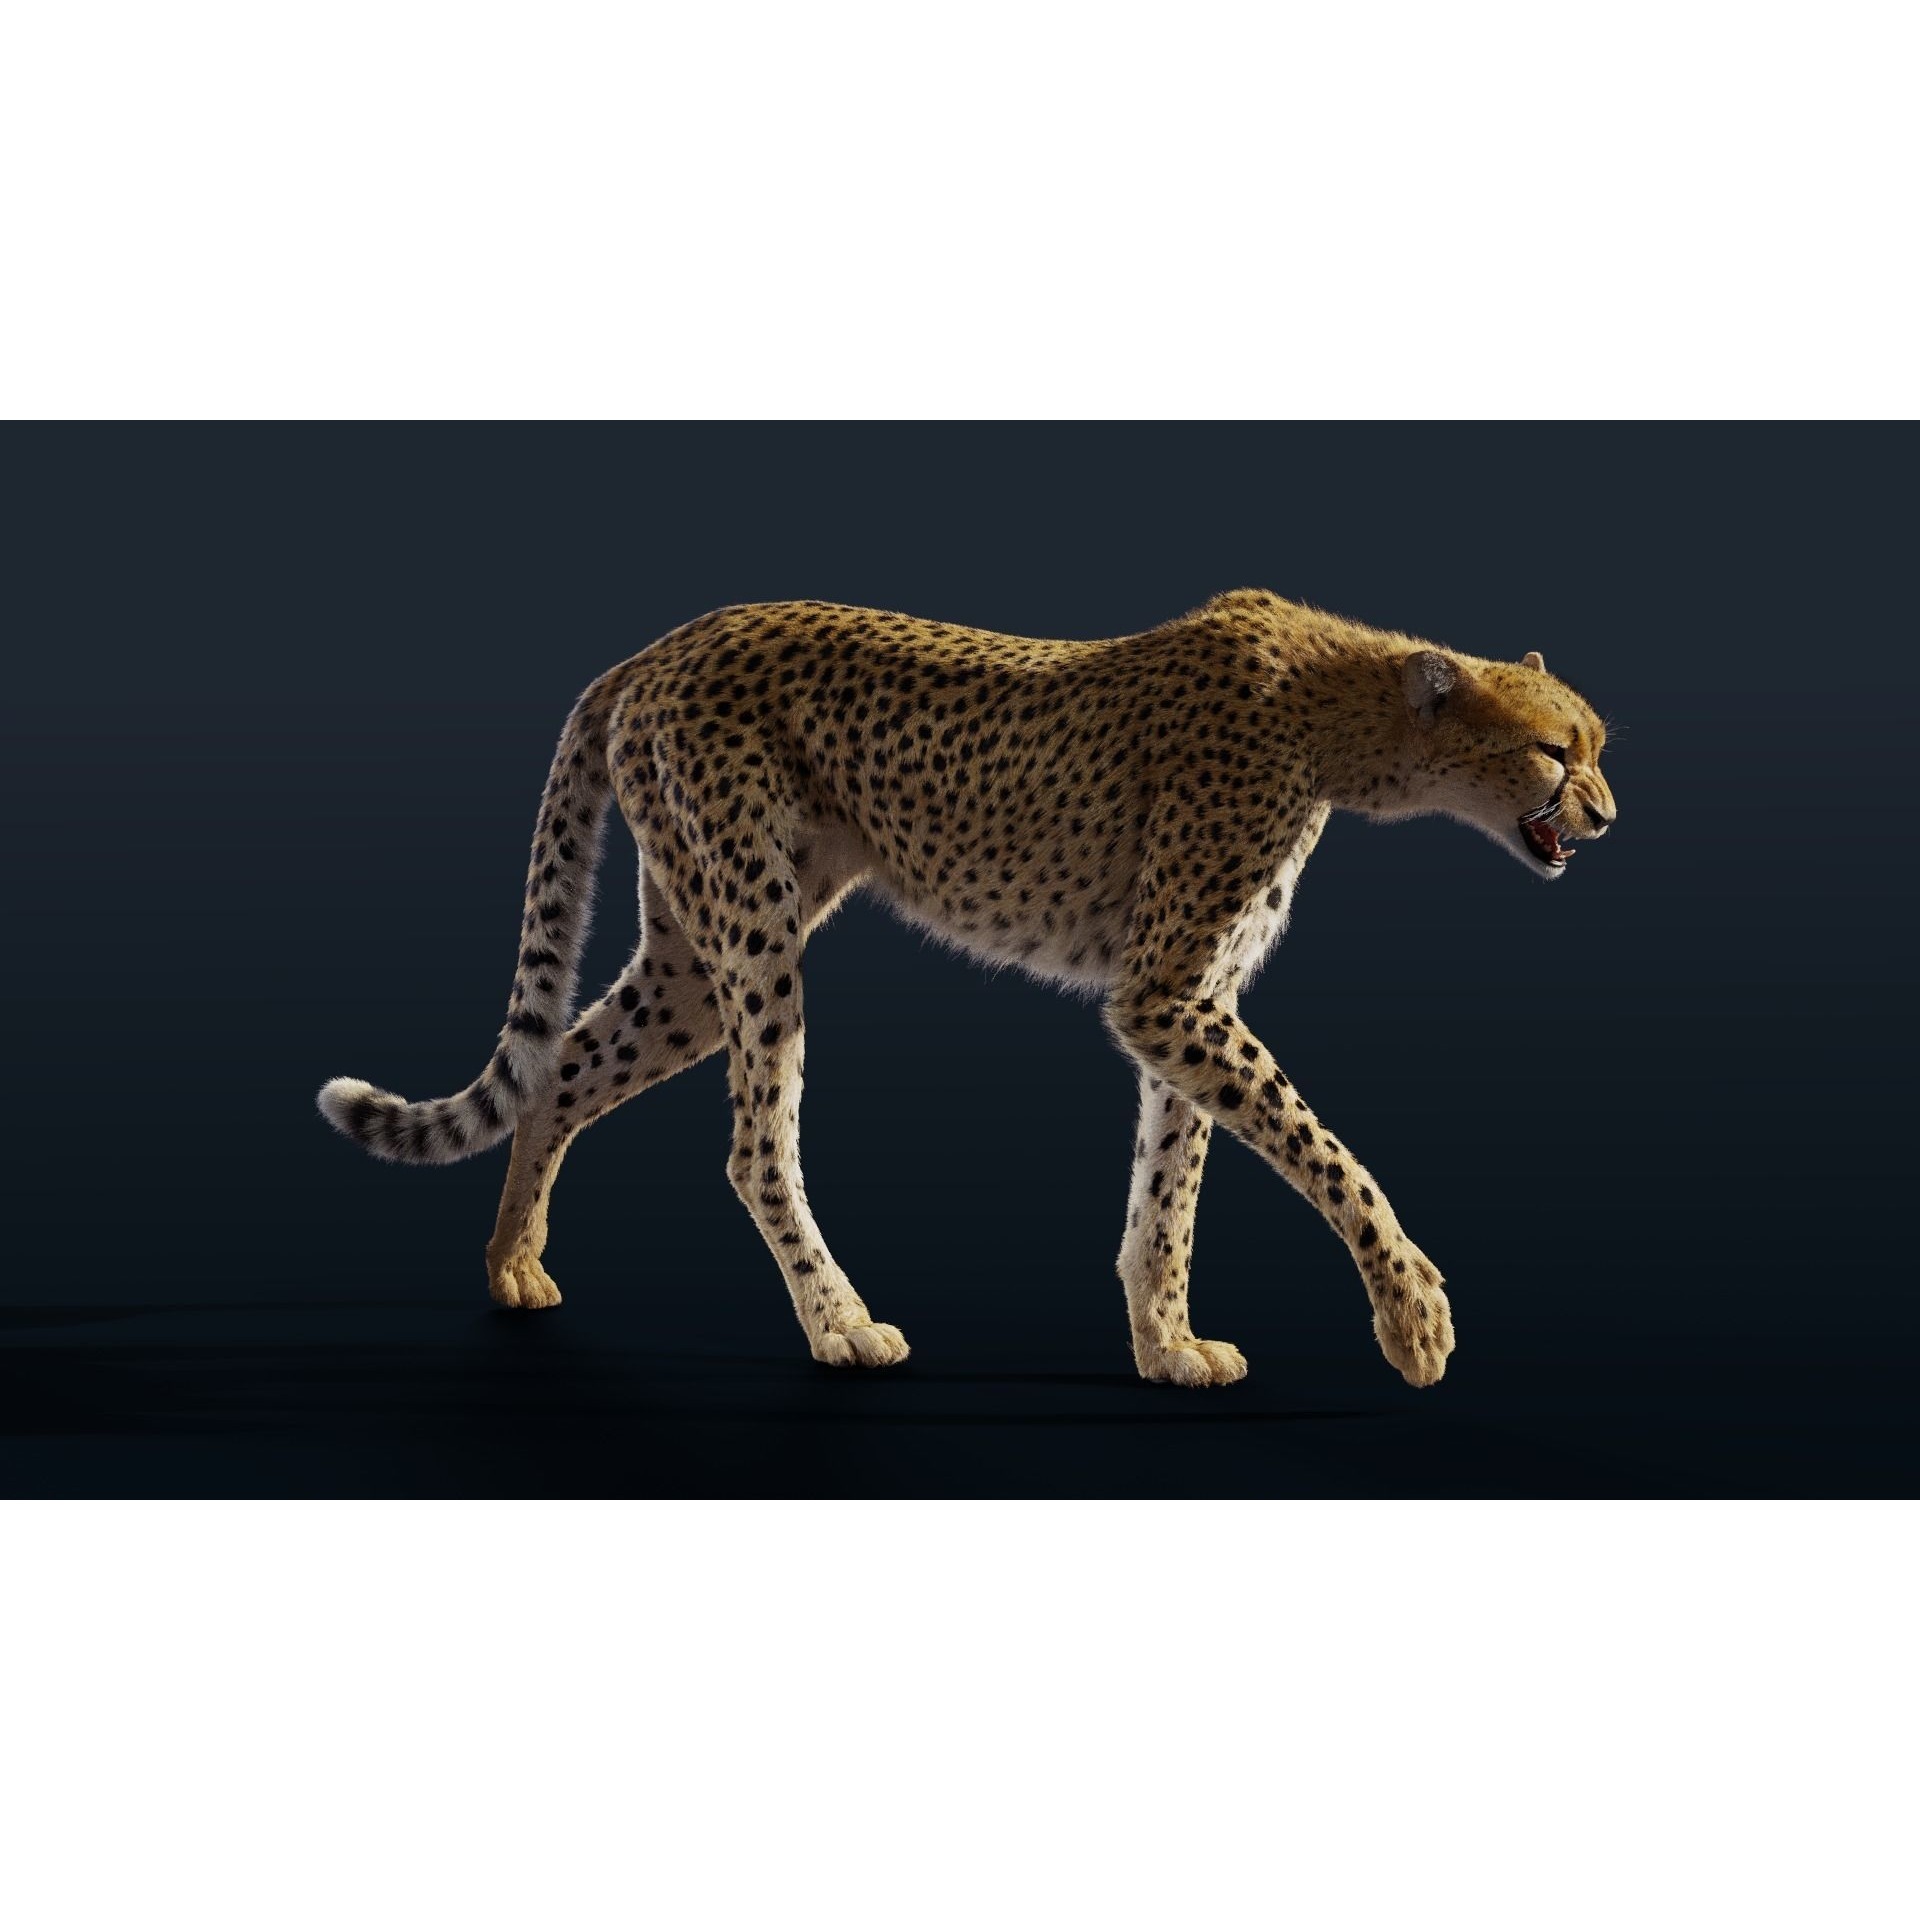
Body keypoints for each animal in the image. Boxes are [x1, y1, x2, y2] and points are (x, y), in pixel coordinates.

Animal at [318, 590, 1616, 1387]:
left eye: (1596, 746)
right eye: (1555, 751)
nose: (1607, 814)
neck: (1343, 720)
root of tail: (665, 640)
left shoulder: (1186, 1005)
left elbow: (1171, 1186)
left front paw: (1167, 1344)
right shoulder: (1169, 996)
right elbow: (1322, 1150)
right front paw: (1414, 1313)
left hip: (692, 955)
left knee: (565, 1069)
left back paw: (512, 1267)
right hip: (753, 933)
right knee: (752, 1145)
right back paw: (840, 1325)